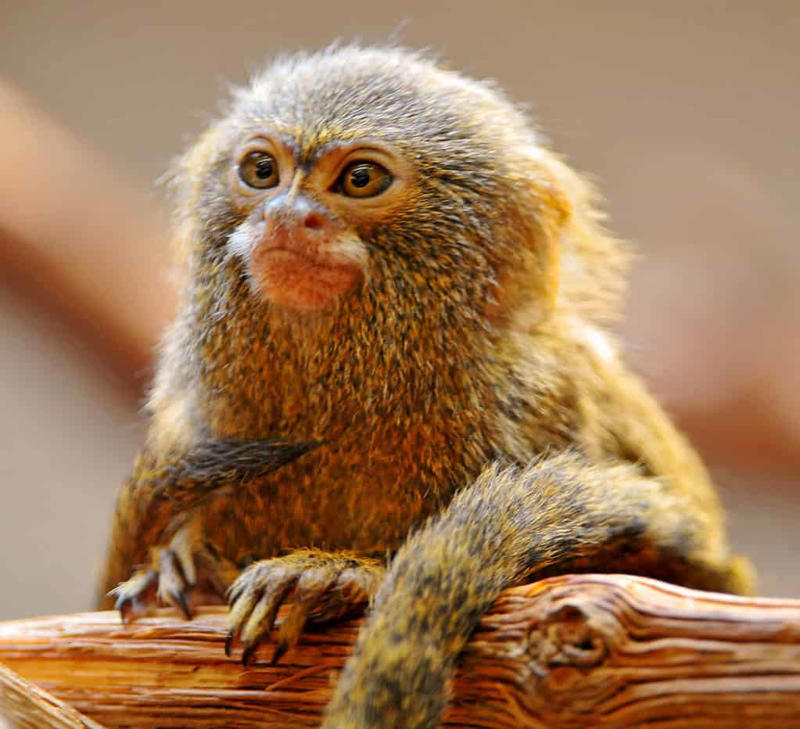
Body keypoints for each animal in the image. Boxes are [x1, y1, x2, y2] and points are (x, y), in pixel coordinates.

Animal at [98, 46, 752, 729]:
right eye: (261, 170)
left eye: (359, 179)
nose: (286, 216)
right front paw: (184, 565)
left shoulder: (558, 408)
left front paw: (334, 575)